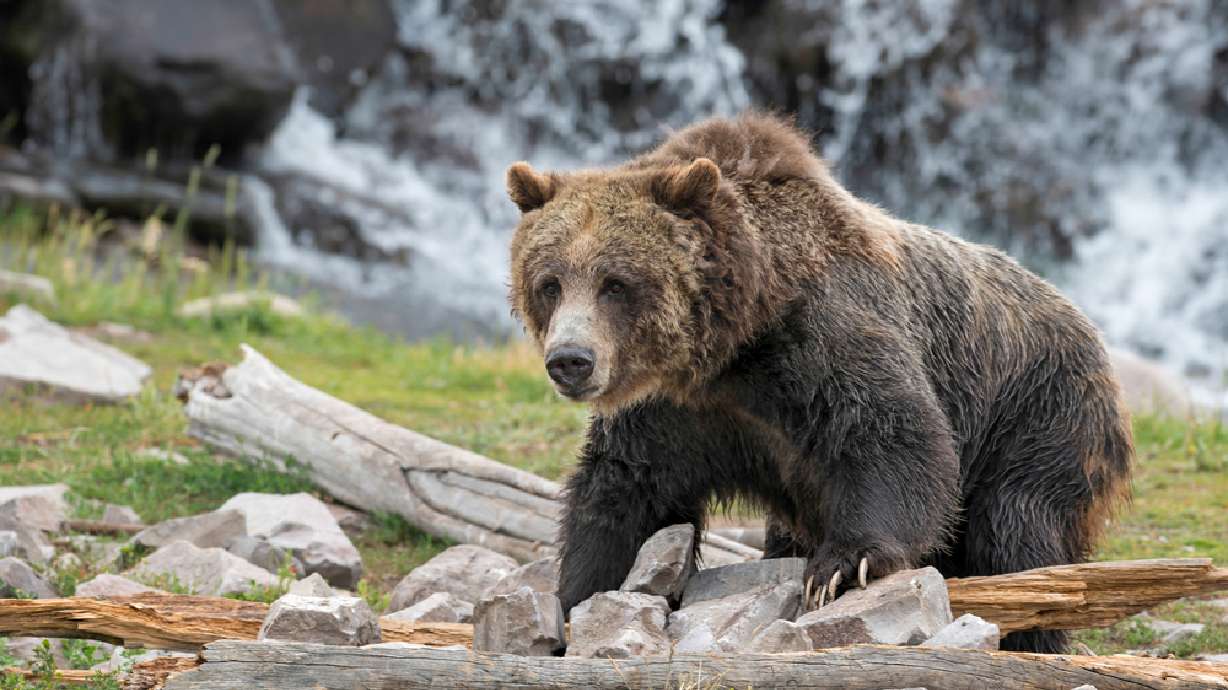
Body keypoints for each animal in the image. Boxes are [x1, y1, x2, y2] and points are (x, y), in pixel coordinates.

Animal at [505, 113, 1133, 654]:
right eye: (550, 282)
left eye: (616, 283)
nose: (570, 360)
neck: (735, 344)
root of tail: (1090, 330)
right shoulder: (678, 412)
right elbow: (624, 491)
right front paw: (575, 599)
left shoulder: (822, 340)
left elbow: (894, 434)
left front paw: (842, 567)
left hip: (1038, 416)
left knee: (1017, 531)